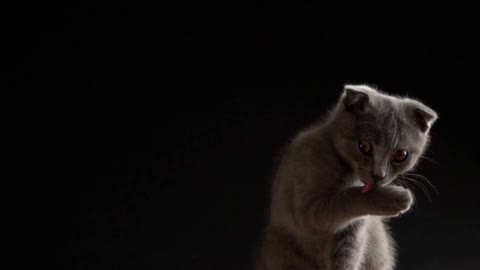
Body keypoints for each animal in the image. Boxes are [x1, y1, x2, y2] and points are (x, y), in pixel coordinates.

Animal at [255, 85, 438, 270]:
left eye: (401, 155)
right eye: (364, 146)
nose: (378, 175)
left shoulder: (354, 230)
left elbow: (347, 255)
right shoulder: (305, 209)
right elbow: (344, 199)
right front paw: (393, 197)